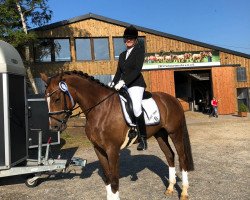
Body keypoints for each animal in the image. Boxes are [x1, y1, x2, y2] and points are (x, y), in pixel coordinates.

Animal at [40, 71, 193, 200]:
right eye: (45, 99)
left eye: (57, 99)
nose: (54, 127)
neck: (100, 109)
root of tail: (173, 99)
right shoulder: (98, 149)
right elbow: (107, 178)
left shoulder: (112, 150)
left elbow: (114, 180)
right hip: (160, 134)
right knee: (169, 155)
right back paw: (170, 188)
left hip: (175, 133)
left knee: (182, 158)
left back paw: (184, 193)